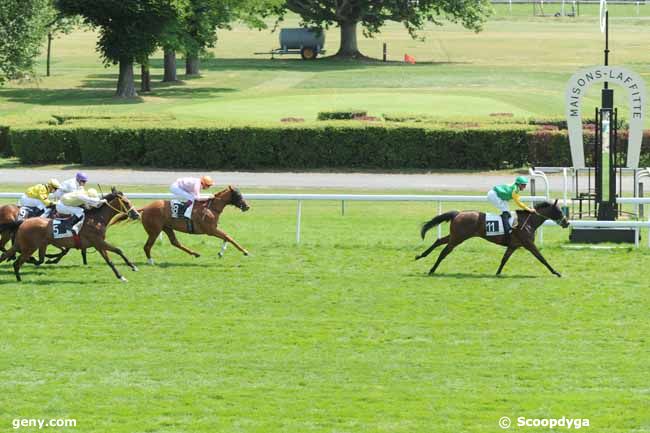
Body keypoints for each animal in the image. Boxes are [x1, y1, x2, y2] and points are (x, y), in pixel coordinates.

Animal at [0, 187, 140, 282]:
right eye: (126, 202)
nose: (136, 214)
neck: (96, 219)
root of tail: (23, 222)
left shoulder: (98, 243)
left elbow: (118, 251)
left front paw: (132, 267)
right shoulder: (98, 242)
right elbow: (111, 258)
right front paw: (122, 276)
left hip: (23, 245)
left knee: (9, 256)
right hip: (29, 247)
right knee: (17, 261)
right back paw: (20, 275)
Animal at [112, 185, 249, 264]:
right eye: (238, 195)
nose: (247, 206)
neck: (211, 208)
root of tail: (145, 208)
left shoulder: (214, 229)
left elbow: (226, 237)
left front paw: (221, 253)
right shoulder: (210, 230)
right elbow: (229, 237)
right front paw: (245, 251)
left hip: (167, 228)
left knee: (175, 242)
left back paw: (195, 253)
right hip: (154, 231)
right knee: (147, 246)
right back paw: (150, 261)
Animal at [416, 200, 568, 276]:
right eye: (559, 211)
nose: (567, 223)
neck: (529, 221)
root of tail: (458, 214)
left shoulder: (513, 246)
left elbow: (504, 259)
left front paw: (497, 273)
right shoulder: (529, 244)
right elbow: (542, 258)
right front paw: (556, 272)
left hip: (455, 236)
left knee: (439, 241)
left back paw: (421, 256)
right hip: (458, 238)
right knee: (444, 252)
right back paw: (431, 269)